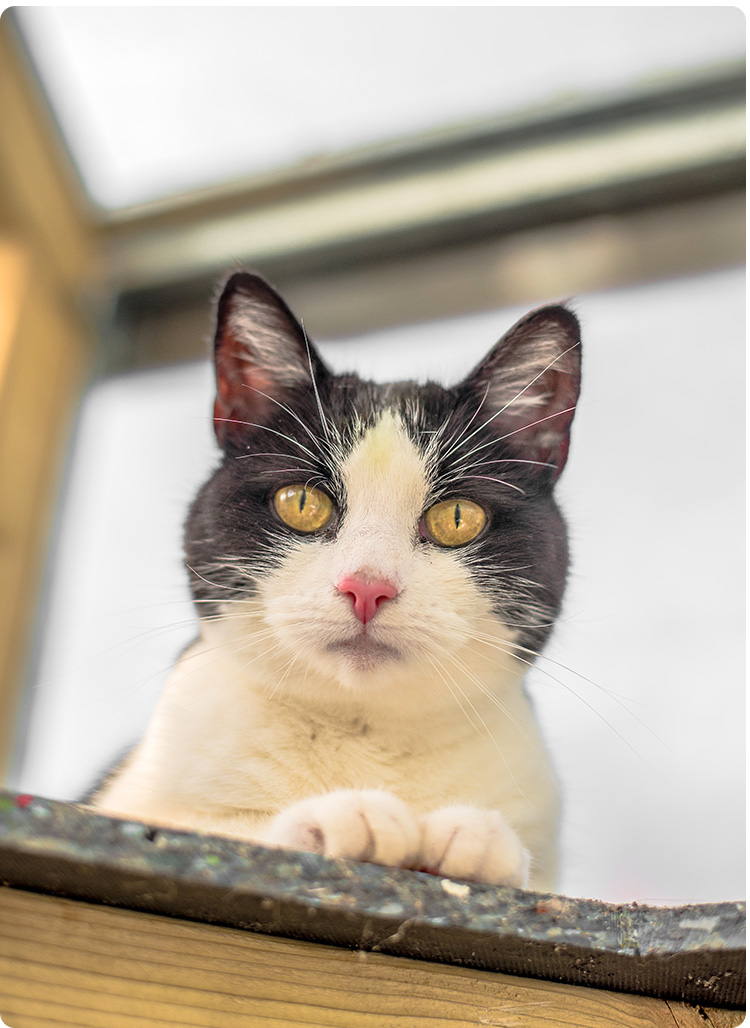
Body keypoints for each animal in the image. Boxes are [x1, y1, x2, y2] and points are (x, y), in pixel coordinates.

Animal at [91, 271, 579, 892]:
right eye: (301, 503)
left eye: (457, 519)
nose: (367, 586)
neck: (365, 734)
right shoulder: (135, 798)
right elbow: (208, 826)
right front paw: (344, 815)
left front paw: (478, 837)